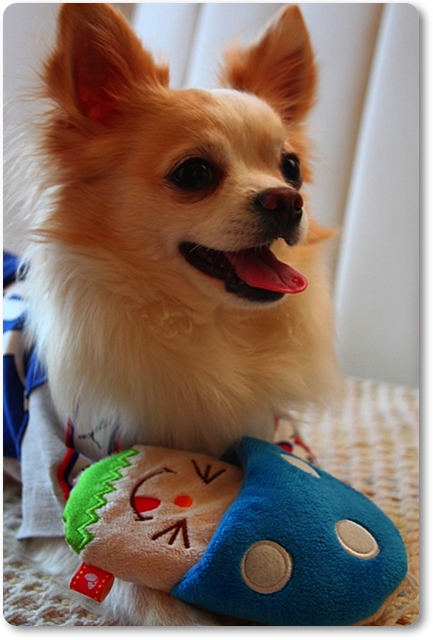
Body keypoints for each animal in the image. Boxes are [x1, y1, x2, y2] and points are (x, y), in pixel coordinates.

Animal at [4, 3, 340, 625]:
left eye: (291, 168)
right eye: (193, 173)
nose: (289, 200)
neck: (203, 327)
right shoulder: (49, 492)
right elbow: (128, 585)